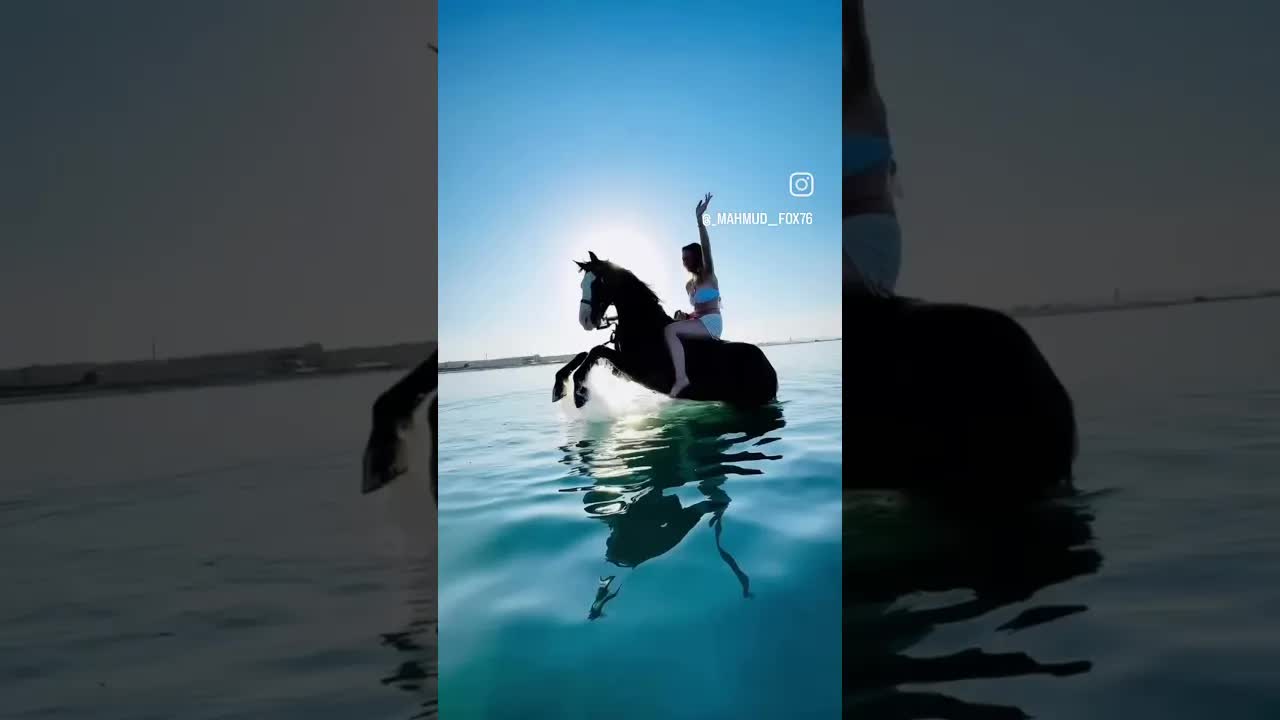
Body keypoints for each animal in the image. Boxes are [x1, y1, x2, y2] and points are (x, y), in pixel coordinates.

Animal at [552, 251, 778, 409]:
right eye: (582, 284)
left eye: (599, 281)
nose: (585, 320)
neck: (644, 324)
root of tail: (769, 367)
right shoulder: (622, 370)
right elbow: (587, 352)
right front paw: (560, 389)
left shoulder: (636, 368)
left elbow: (597, 350)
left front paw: (579, 394)